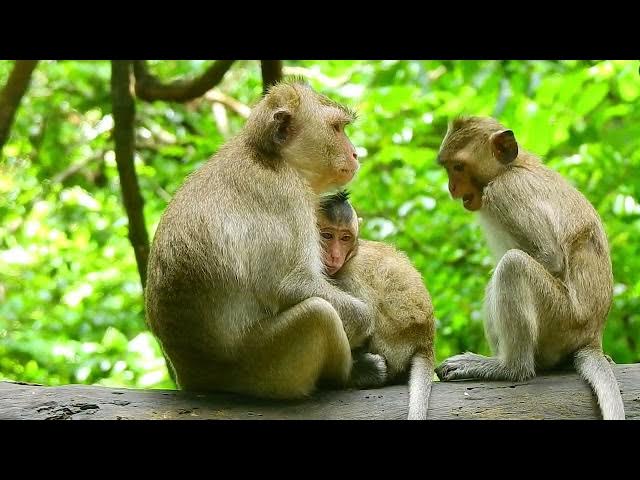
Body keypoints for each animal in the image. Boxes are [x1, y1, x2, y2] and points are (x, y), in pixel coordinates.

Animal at [144, 80, 386, 400]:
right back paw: (351, 375)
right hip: (262, 370)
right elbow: (290, 284)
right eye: (337, 128)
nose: (355, 154)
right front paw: (365, 321)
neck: (272, 156)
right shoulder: (286, 196)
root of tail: (195, 377)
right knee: (319, 314)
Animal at [318, 191, 436, 420]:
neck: (353, 252)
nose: (335, 256)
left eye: (345, 238)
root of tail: (426, 338)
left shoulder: (350, 272)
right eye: (327, 236)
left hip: (393, 340)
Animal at [434, 116, 625, 420]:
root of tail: (593, 336)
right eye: (448, 167)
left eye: (459, 167)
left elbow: (550, 257)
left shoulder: (506, 192)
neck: (511, 168)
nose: (451, 188)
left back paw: (508, 367)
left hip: (562, 321)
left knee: (512, 266)